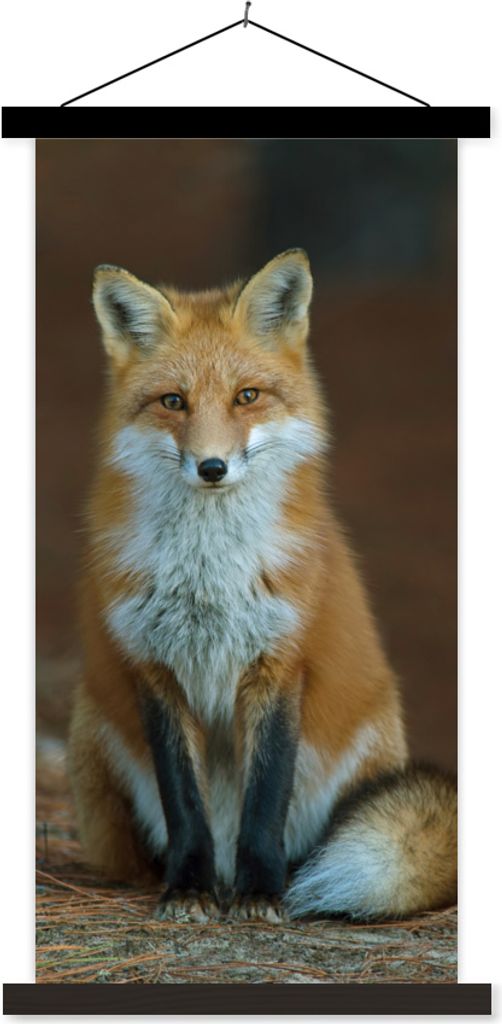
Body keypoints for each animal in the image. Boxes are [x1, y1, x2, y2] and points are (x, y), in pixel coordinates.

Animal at [68, 249, 457, 923]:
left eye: (246, 396)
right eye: (174, 401)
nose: (212, 467)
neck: (209, 576)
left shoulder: (278, 662)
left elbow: (266, 799)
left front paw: (260, 893)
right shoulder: (155, 668)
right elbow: (183, 804)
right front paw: (188, 888)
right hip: (88, 727)